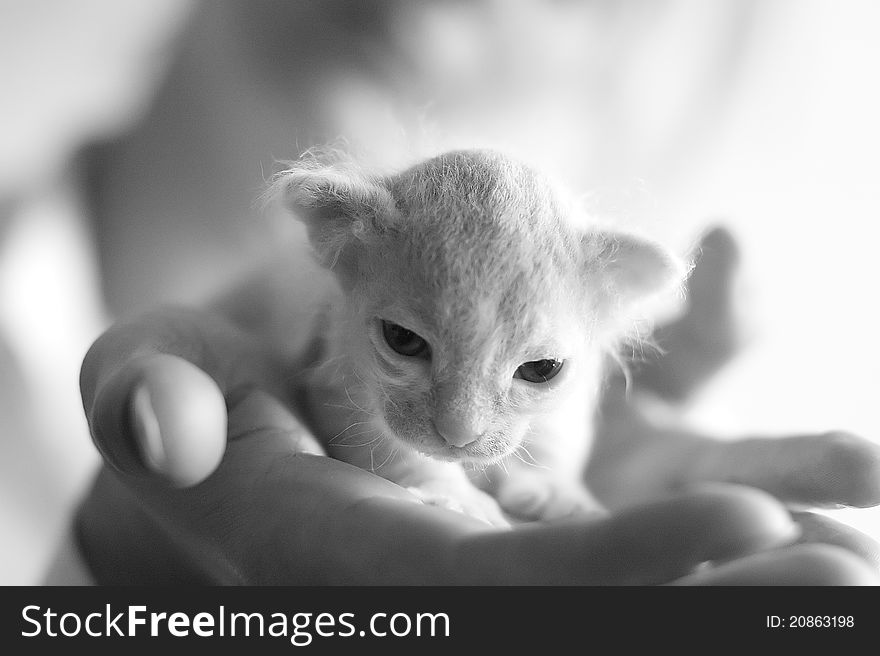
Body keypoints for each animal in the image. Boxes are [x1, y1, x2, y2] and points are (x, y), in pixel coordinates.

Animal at [272, 150, 684, 528]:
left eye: (542, 369)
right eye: (402, 339)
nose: (458, 435)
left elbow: (556, 436)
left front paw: (559, 493)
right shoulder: (333, 377)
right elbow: (389, 446)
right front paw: (455, 496)